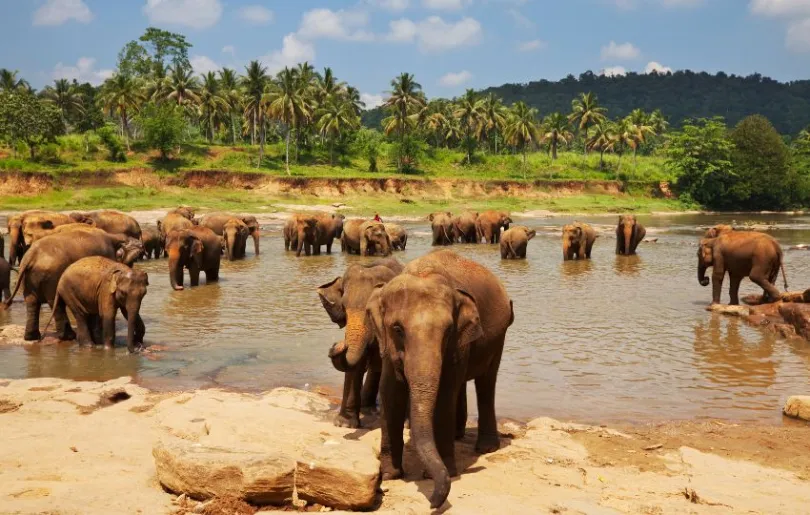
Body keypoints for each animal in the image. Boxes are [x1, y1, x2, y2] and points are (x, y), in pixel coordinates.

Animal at [3, 230, 142, 342]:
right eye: (132, 261)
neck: (114, 236)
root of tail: (30, 256)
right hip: (52, 276)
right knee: (56, 302)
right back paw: (68, 337)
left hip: (29, 278)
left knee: (32, 302)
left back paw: (31, 337)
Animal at [316, 260, 404, 430]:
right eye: (344, 307)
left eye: (370, 311)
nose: (338, 344)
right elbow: (355, 365)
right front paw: (345, 424)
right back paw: (367, 408)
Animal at [364, 251, 512, 512]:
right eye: (397, 329)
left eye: (448, 330)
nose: (433, 502)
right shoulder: (387, 346)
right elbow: (390, 392)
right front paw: (391, 474)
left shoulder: (458, 343)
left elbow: (445, 394)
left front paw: (445, 473)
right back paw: (458, 436)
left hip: (498, 337)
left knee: (486, 383)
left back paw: (486, 448)